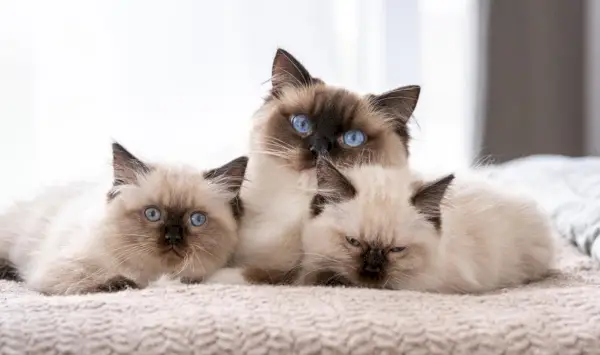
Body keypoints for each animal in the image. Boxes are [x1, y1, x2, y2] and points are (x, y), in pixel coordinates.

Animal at [0, 143, 246, 296]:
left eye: (196, 219)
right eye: (153, 214)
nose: (173, 237)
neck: (153, 274)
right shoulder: (60, 272)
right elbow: (114, 282)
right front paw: (128, 283)